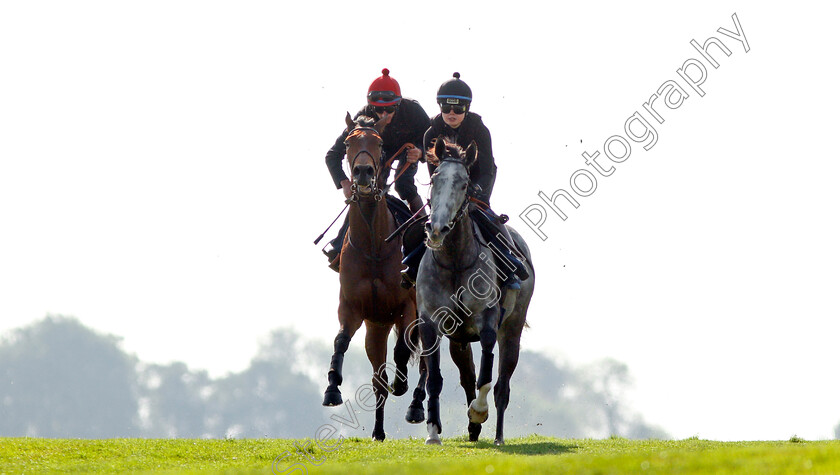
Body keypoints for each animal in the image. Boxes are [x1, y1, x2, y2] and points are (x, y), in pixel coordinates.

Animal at [322, 113, 426, 440]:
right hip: (376, 328)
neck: (374, 246)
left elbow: (404, 347)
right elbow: (340, 341)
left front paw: (402, 383)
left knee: (427, 366)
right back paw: (378, 432)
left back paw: (416, 405)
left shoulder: (408, 307)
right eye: (348, 142)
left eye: (379, 143)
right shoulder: (353, 308)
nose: (364, 173)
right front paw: (332, 388)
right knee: (378, 378)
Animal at [416, 138, 540, 446]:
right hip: (458, 339)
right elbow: (435, 378)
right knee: (467, 376)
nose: (436, 229)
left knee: (502, 385)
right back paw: (473, 430)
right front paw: (433, 433)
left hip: (513, 329)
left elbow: (486, 377)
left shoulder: (487, 321)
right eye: (434, 180)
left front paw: (478, 412)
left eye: (464, 184)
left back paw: (496, 435)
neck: (455, 261)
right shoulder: (430, 323)